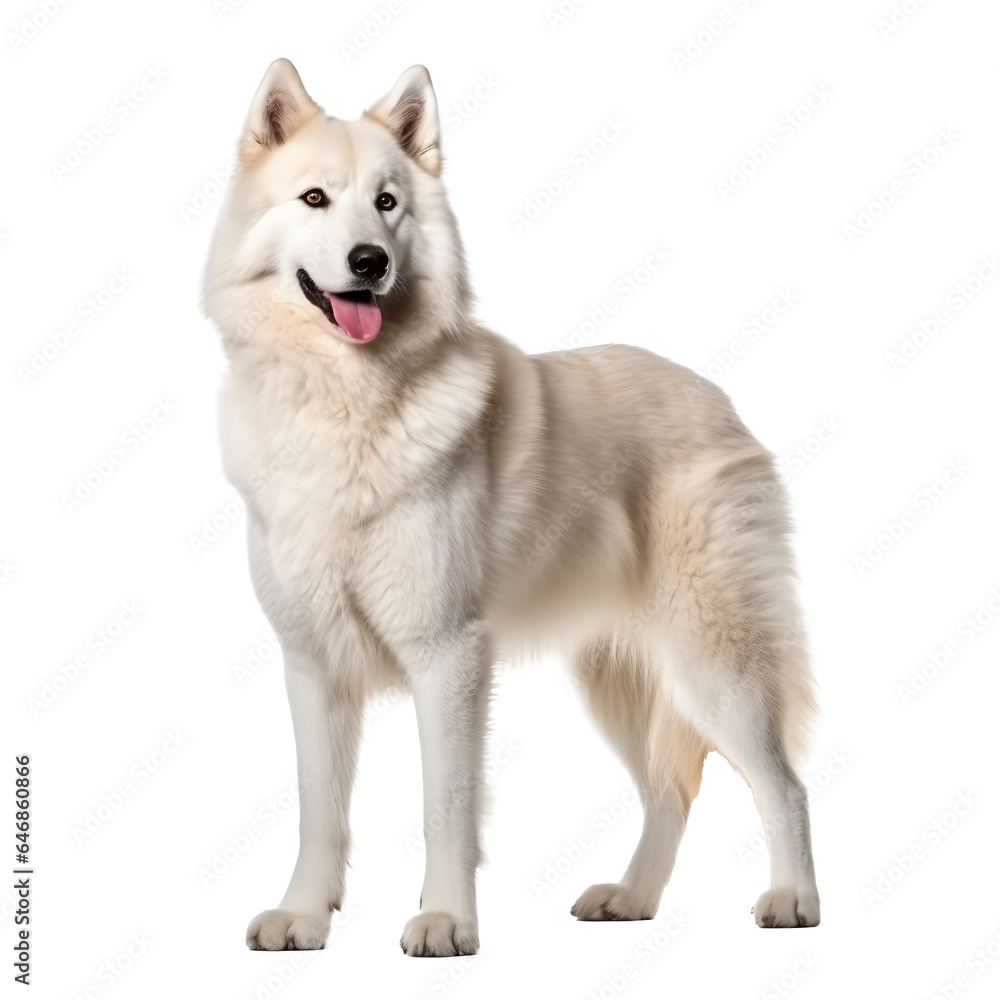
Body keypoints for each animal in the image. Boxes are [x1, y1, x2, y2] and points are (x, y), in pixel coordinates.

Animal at [201, 58, 820, 956]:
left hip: (714, 662)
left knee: (785, 783)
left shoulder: (447, 656)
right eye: (314, 198)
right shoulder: (312, 662)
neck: (344, 403)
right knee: (671, 788)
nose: (369, 261)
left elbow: (445, 804)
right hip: (615, 677)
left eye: (387, 203)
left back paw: (793, 900)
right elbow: (319, 808)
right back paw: (632, 898)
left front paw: (445, 922)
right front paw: (306, 916)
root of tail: (718, 398)